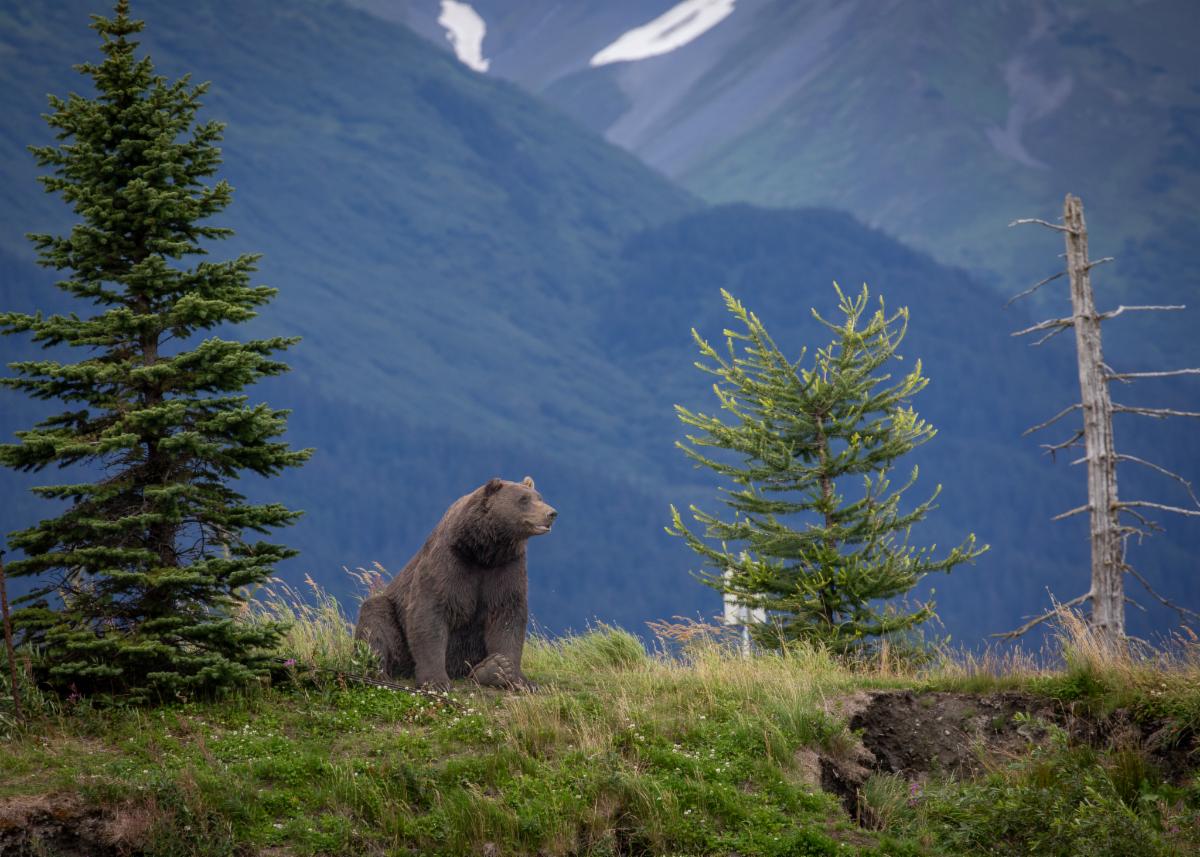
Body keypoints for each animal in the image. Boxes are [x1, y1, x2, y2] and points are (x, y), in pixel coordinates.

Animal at [354, 476, 556, 692]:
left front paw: (515, 675)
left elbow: (508, 616)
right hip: (397, 631)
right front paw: (436, 681)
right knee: (375, 619)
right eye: (523, 499)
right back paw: (379, 672)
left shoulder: (507, 568)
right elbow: (429, 613)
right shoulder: (449, 563)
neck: (482, 551)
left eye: (539, 497)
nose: (551, 513)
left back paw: (490, 670)